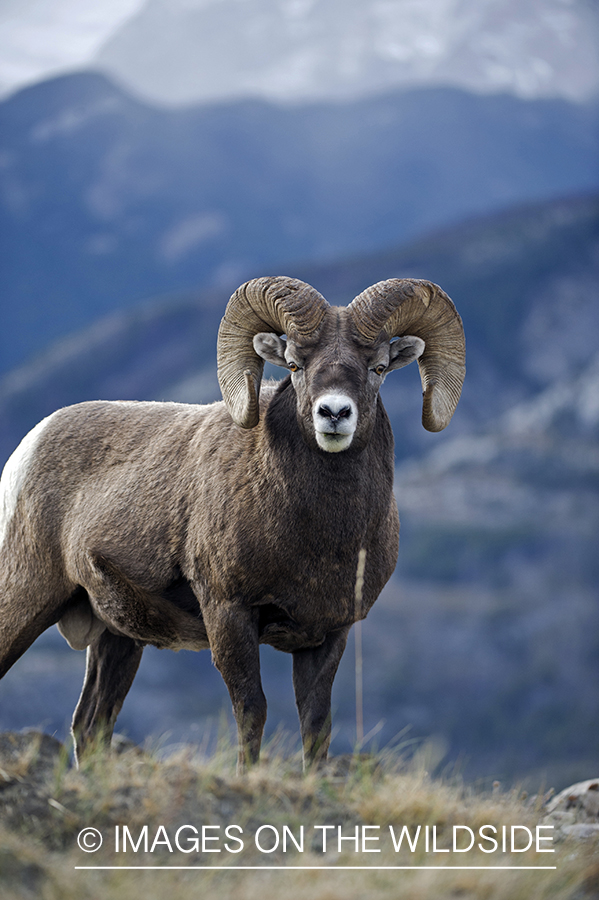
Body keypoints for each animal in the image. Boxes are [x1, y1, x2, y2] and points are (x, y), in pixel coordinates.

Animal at [0, 276, 465, 771]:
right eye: (295, 364)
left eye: (378, 367)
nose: (334, 414)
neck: (318, 542)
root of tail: (29, 445)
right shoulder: (229, 615)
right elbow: (251, 710)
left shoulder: (328, 636)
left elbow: (316, 724)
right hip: (27, 599)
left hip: (117, 638)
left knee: (91, 726)